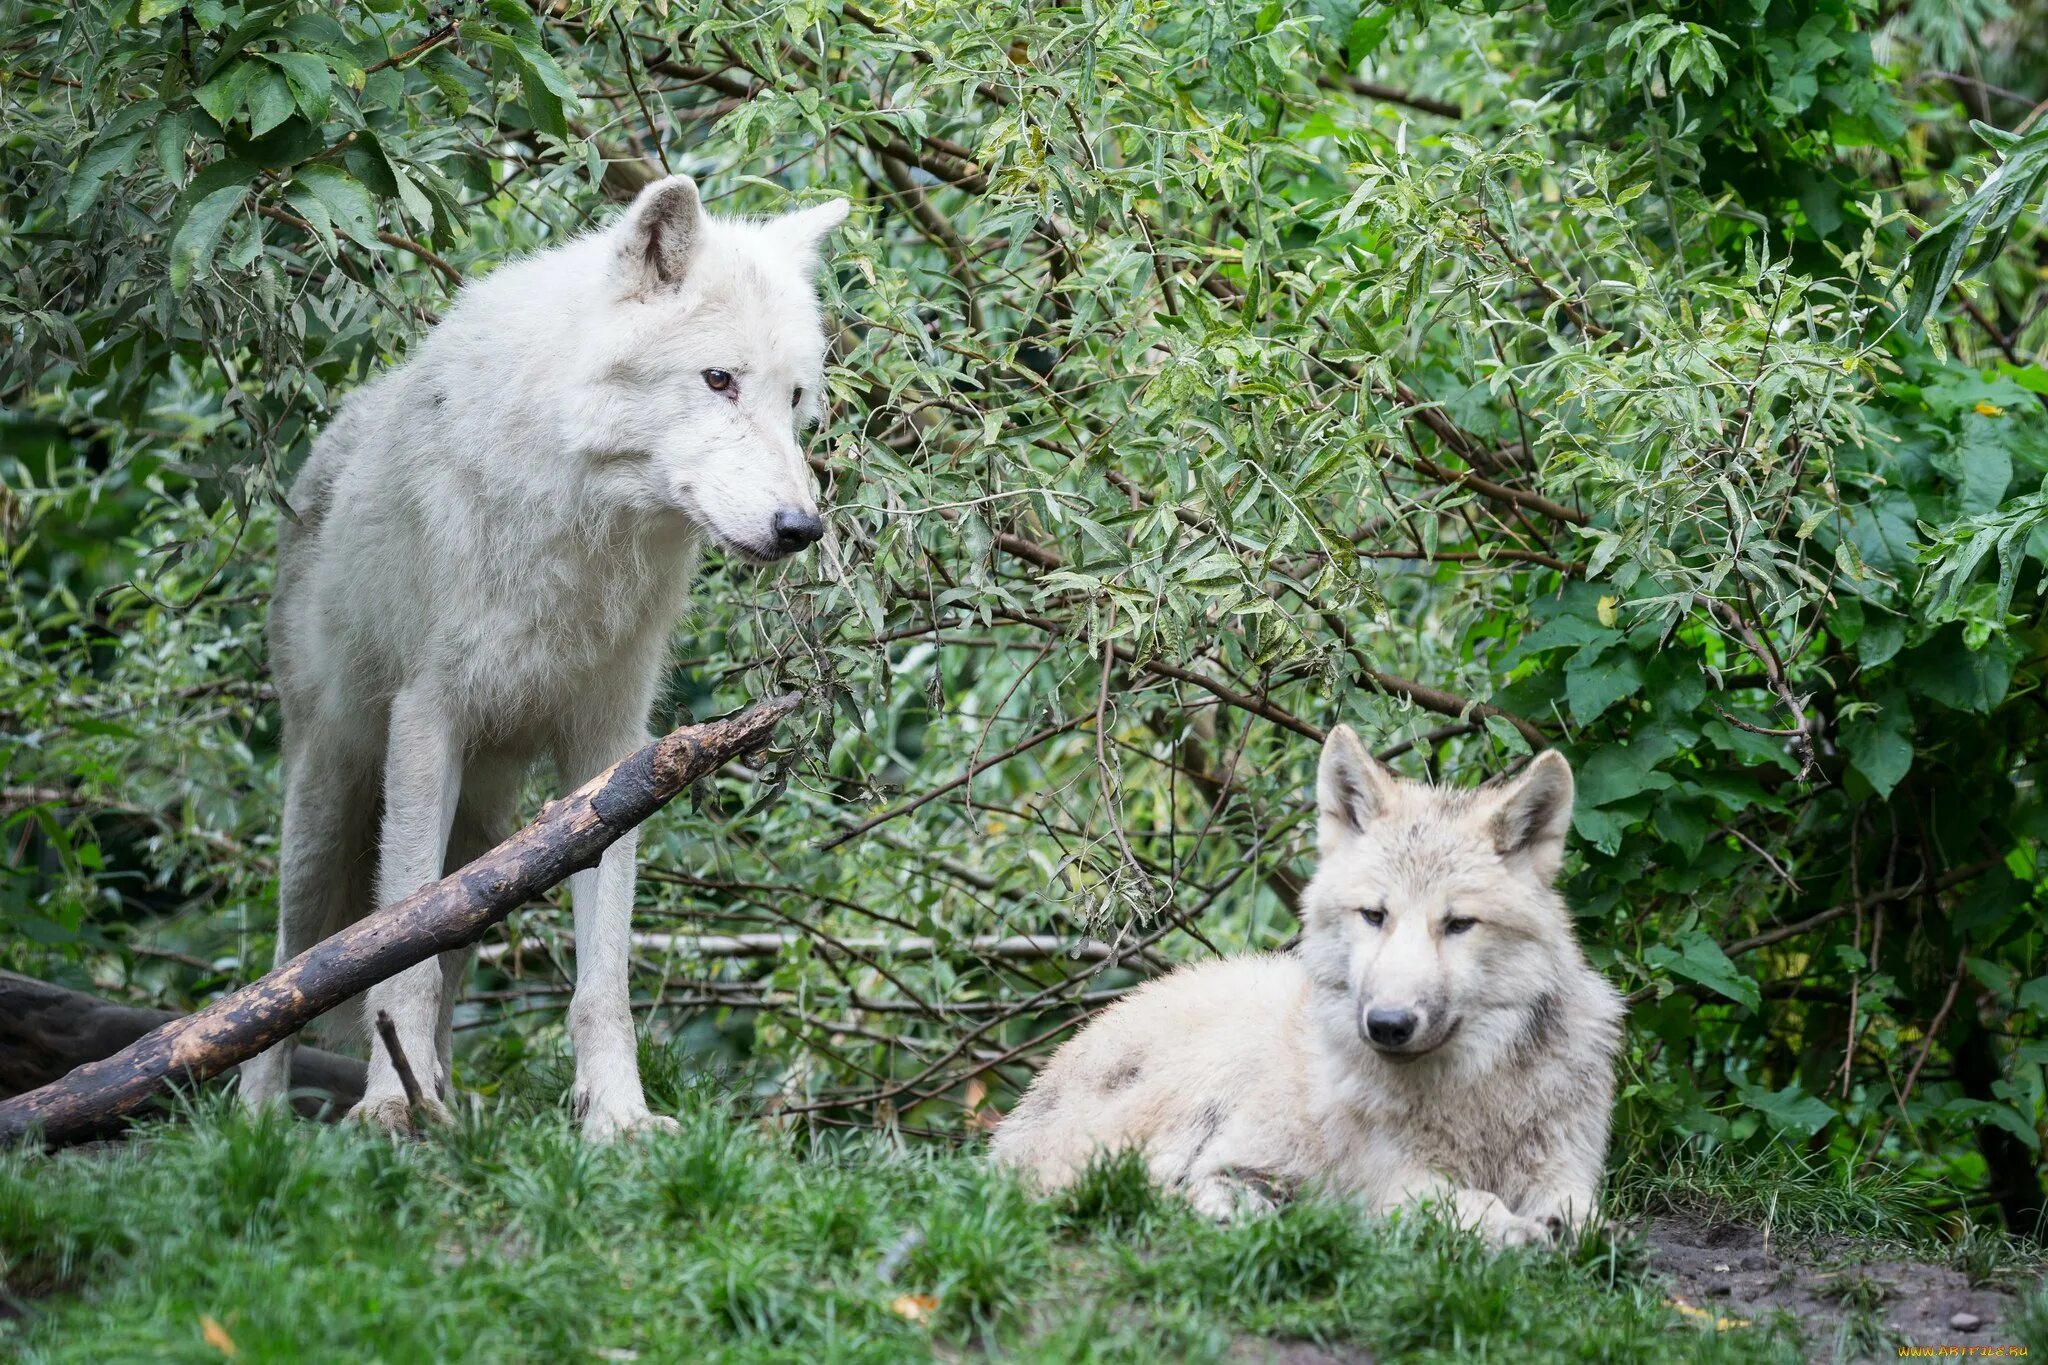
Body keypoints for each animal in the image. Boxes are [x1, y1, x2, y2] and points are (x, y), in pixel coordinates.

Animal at [239, 175, 847, 1146]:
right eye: (719, 379)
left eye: (794, 399)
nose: (802, 528)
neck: (581, 524)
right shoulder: (428, 721)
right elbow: (393, 958)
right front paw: (385, 1107)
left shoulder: (614, 758)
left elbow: (604, 981)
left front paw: (619, 1116)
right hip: (326, 804)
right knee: (290, 968)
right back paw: (263, 1120)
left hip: (488, 839)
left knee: (445, 940)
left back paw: (443, 1099)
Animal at [983, 732, 1622, 1244]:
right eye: (1374, 916)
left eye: (1459, 924)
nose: (1387, 1025)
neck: (1475, 1094)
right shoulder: (1398, 1182)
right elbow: (1473, 1203)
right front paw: (1518, 1232)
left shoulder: (1569, 1169)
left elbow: (1582, 1212)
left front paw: (1570, 1231)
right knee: (1134, 1189)